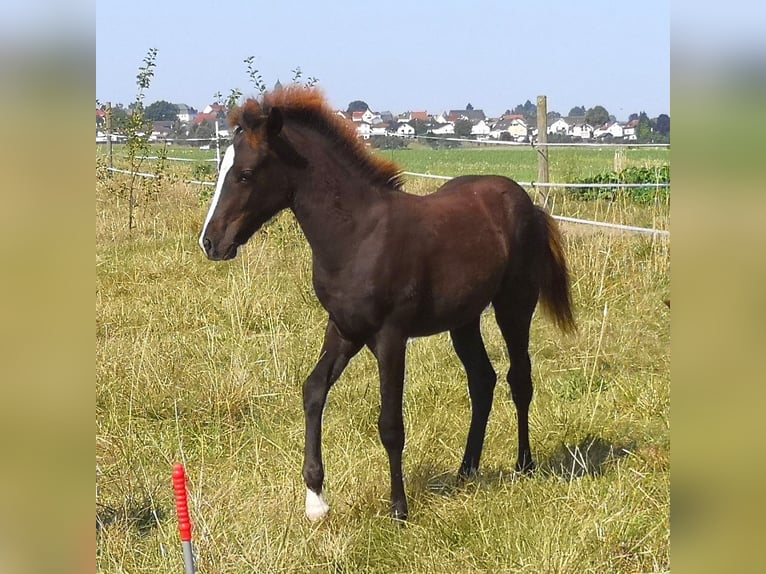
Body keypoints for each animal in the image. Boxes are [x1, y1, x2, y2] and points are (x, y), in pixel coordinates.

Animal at [198, 88, 576, 524]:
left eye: (244, 174)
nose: (211, 242)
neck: (357, 235)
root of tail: (529, 204)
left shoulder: (390, 336)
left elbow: (391, 423)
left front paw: (399, 508)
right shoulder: (344, 327)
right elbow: (313, 389)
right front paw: (315, 499)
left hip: (514, 304)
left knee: (519, 378)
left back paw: (524, 464)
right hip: (463, 320)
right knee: (483, 380)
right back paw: (466, 470)